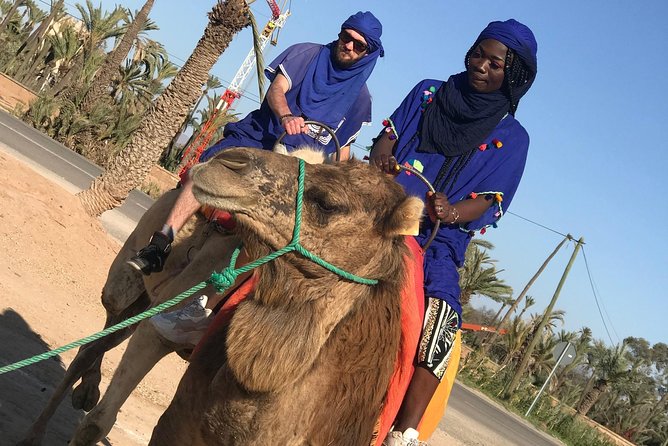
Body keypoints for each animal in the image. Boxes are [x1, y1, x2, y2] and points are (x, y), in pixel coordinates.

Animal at [19, 147, 423, 446]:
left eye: (327, 203)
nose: (229, 159)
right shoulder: (168, 370)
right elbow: (96, 424)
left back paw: (85, 391)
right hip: (129, 281)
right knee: (94, 342)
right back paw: (38, 429)